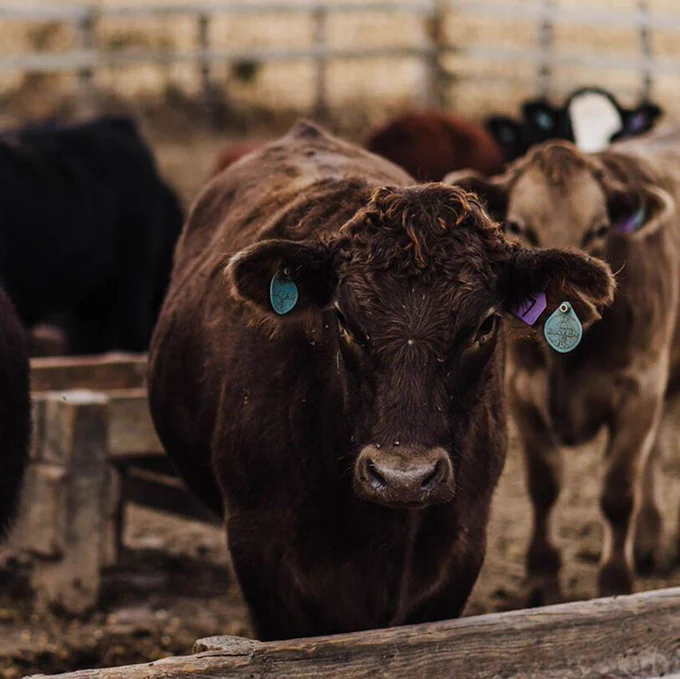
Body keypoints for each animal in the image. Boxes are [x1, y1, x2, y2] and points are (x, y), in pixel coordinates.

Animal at [445, 128, 680, 603]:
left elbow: (617, 491)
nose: (565, 299)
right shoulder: (522, 391)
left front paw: (615, 582)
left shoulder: (641, 388)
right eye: (517, 225)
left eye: (600, 228)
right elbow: (544, 484)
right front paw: (542, 579)